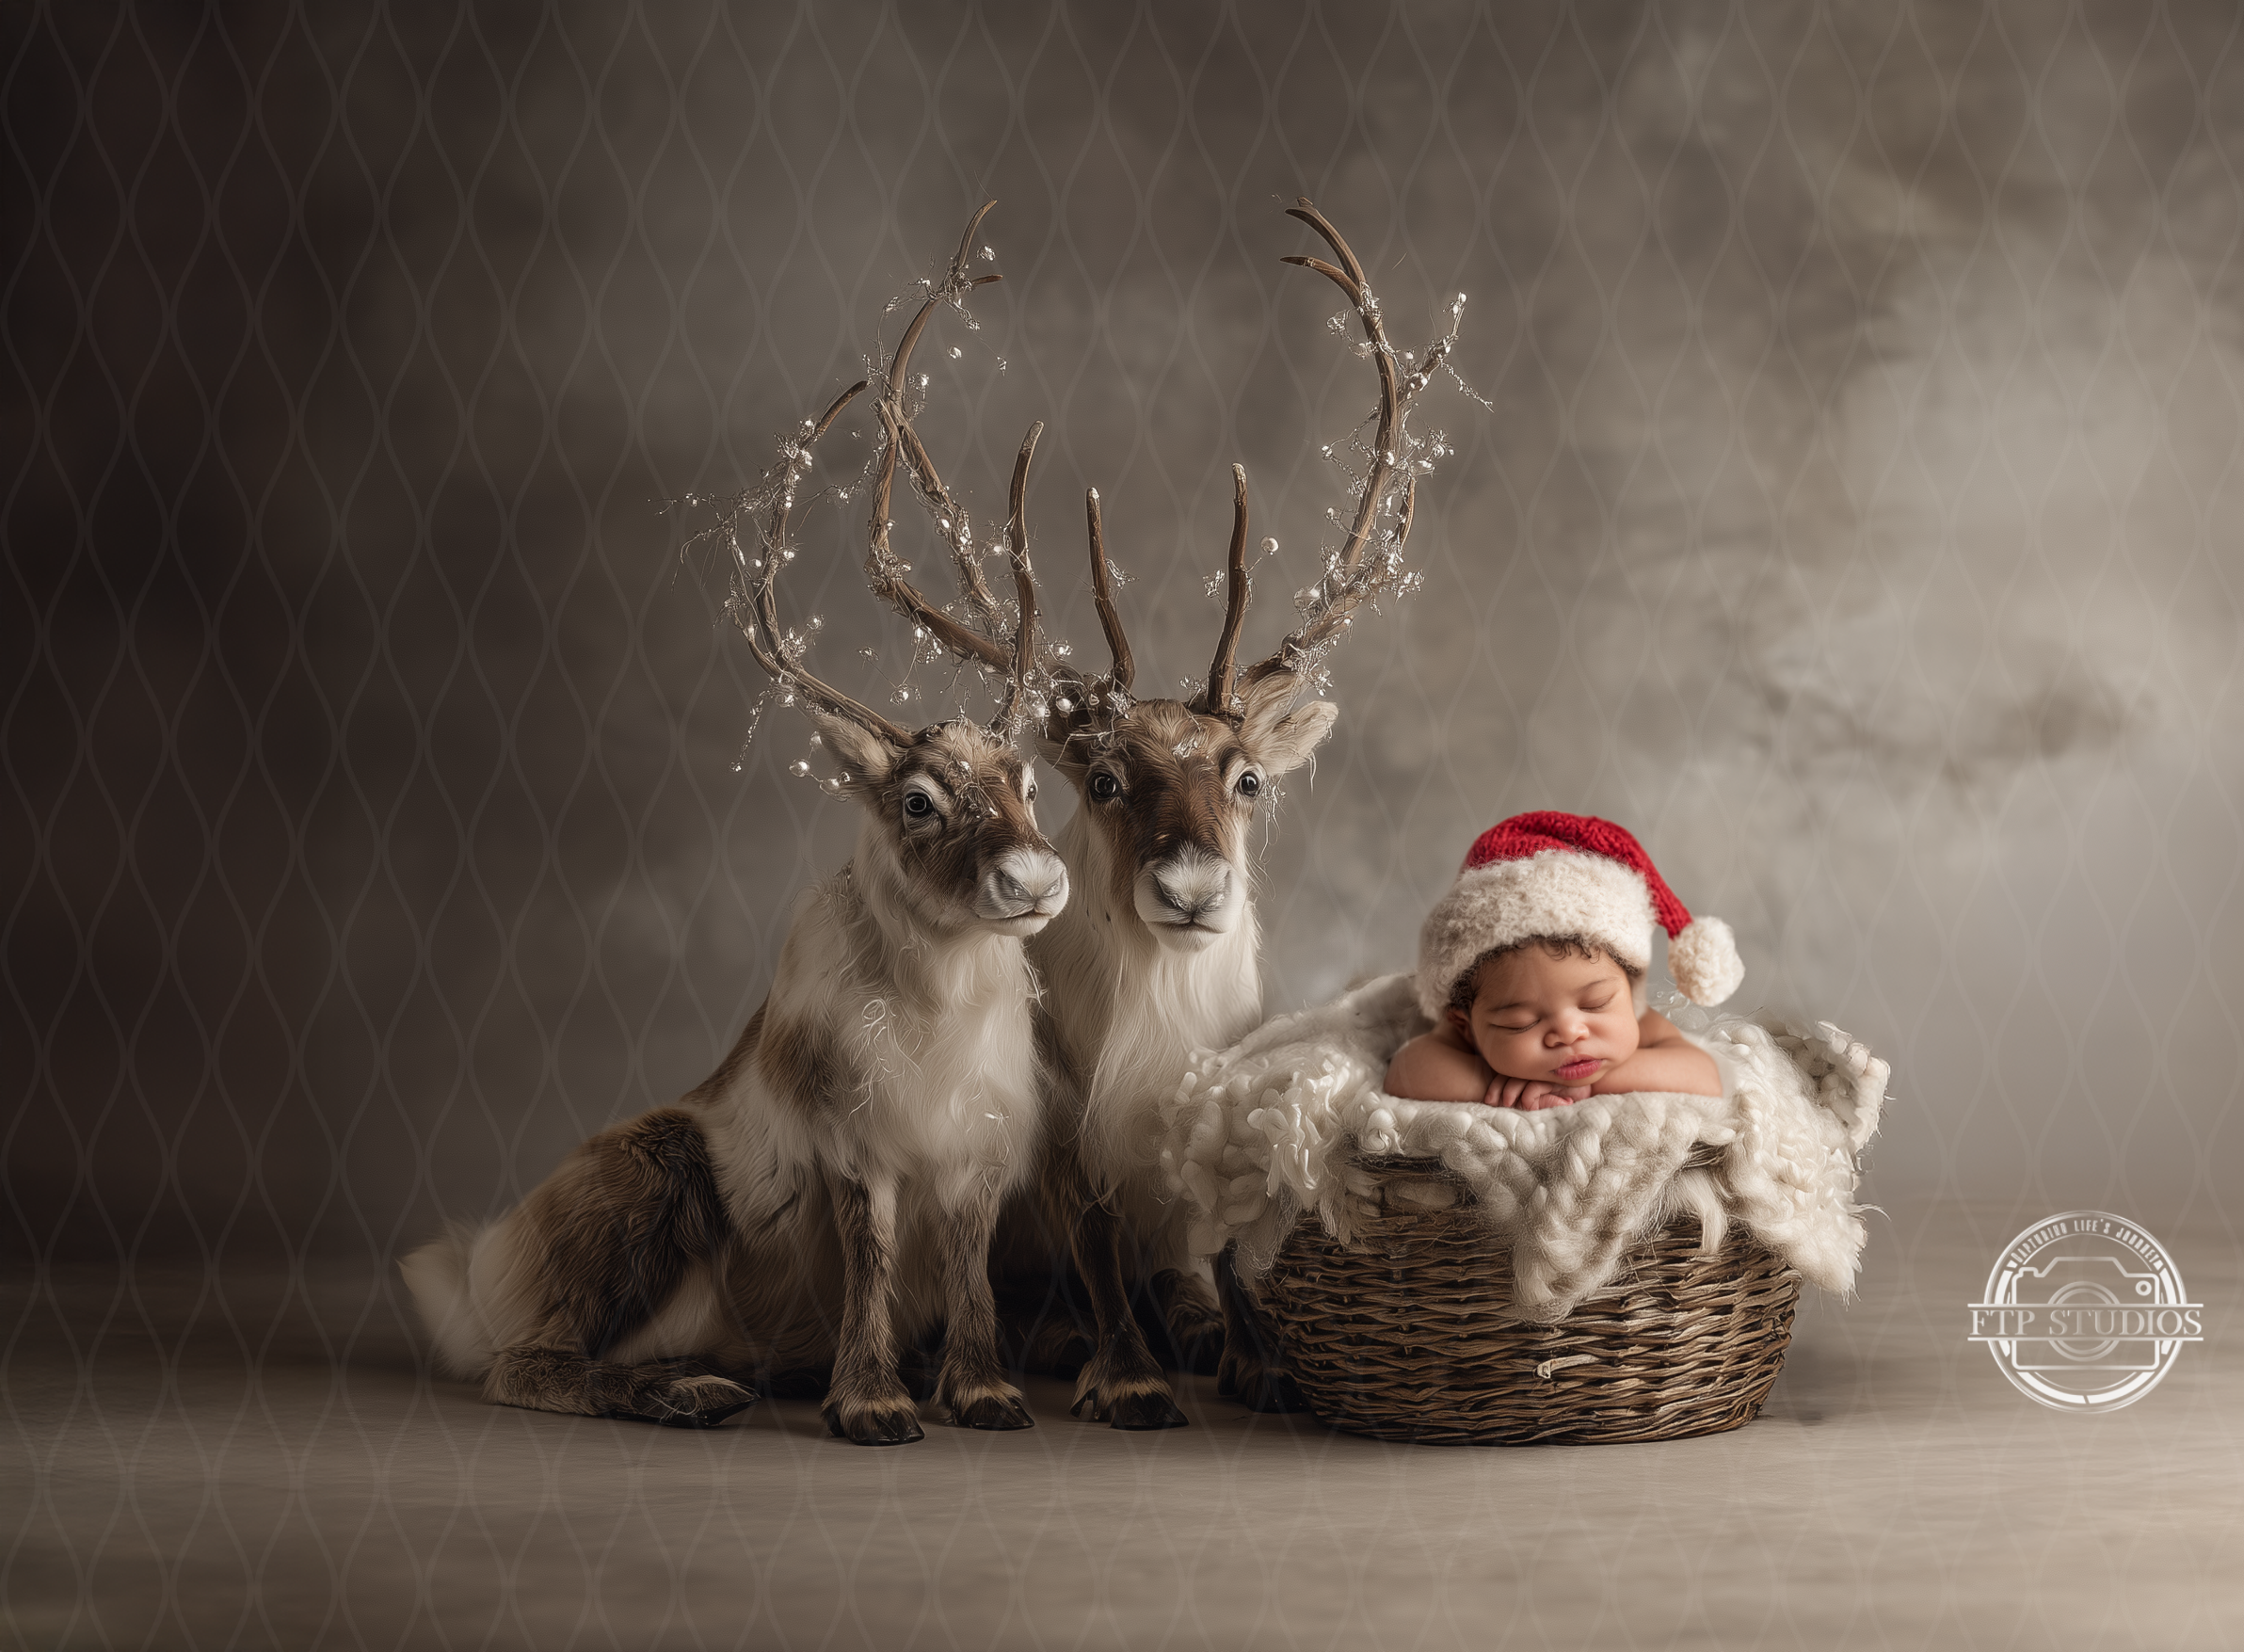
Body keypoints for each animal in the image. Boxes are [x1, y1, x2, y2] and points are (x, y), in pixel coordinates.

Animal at [402, 205, 1074, 1446]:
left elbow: (964, 1274)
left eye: (1024, 777)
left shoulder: (977, 1157)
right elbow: (870, 1258)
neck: (939, 1005)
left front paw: (983, 1393)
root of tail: (480, 1272)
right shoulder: (856, 1150)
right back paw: (686, 1391)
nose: (1032, 880)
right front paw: (873, 1405)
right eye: (915, 800)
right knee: (524, 1367)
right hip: (648, 1177)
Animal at [1006, 200, 1466, 1429]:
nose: (1189, 889)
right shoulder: (1066, 1143)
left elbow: (1224, 1245)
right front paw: (1125, 1374)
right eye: (1103, 782)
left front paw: (1260, 1360)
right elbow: (1096, 1243)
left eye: (1248, 778)